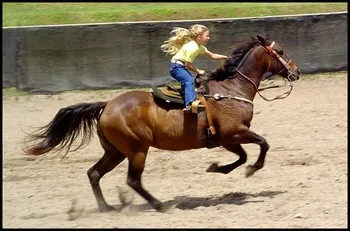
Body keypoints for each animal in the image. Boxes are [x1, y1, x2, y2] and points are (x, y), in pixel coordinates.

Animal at [22, 33, 300, 212]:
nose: (296, 72)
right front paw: (252, 169)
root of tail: (107, 105)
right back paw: (158, 204)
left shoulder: (225, 138)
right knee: (132, 180)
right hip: (137, 150)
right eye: (281, 52)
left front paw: (216, 168)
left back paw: (106, 207)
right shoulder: (235, 132)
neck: (232, 89)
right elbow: (262, 144)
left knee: (94, 173)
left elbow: (241, 157)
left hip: (115, 151)